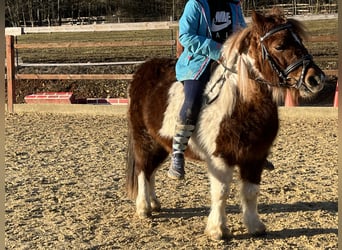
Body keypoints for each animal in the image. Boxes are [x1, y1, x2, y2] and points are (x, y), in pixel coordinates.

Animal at [125, 9, 324, 240]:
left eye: (299, 40)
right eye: (280, 45)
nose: (316, 79)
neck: (242, 105)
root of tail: (142, 70)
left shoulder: (255, 157)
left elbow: (251, 192)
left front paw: (255, 226)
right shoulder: (220, 158)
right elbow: (221, 192)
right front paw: (217, 230)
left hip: (160, 143)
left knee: (151, 171)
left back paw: (154, 203)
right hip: (144, 138)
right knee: (143, 169)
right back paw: (144, 207)